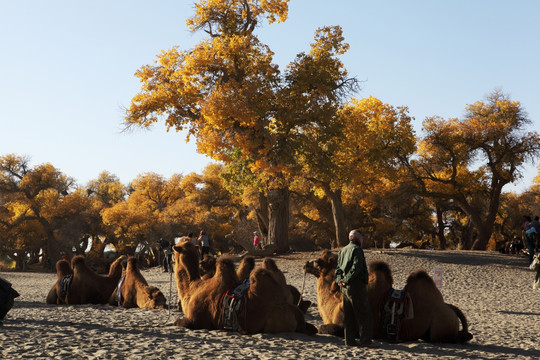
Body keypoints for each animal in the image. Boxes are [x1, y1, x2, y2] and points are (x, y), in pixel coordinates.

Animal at [304, 250, 472, 344]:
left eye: (318, 262)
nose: (306, 264)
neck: (335, 299)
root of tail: (449, 307)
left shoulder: (345, 325)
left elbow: (321, 328)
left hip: (440, 327)